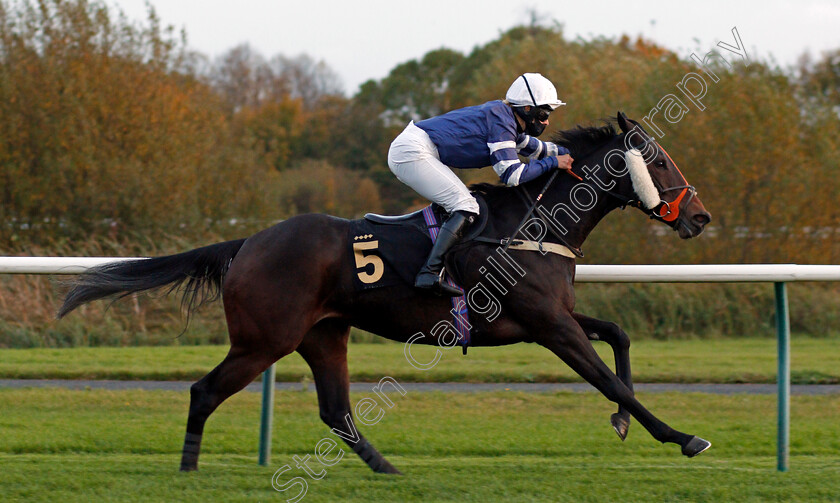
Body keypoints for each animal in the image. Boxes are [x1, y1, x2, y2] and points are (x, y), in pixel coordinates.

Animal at [59, 112, 712, 474]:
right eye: (656, 160)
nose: (699, 217)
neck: (534, 224)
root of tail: (248, 243)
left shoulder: (553, 317)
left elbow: (619, 336)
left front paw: (623, 422)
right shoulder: (549, 326)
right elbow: (606, 377)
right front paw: (682, 437)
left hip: (323, 333)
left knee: (335, 410)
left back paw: (388, 469)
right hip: (263, 340)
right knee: (204, 391)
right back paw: (189, 469)